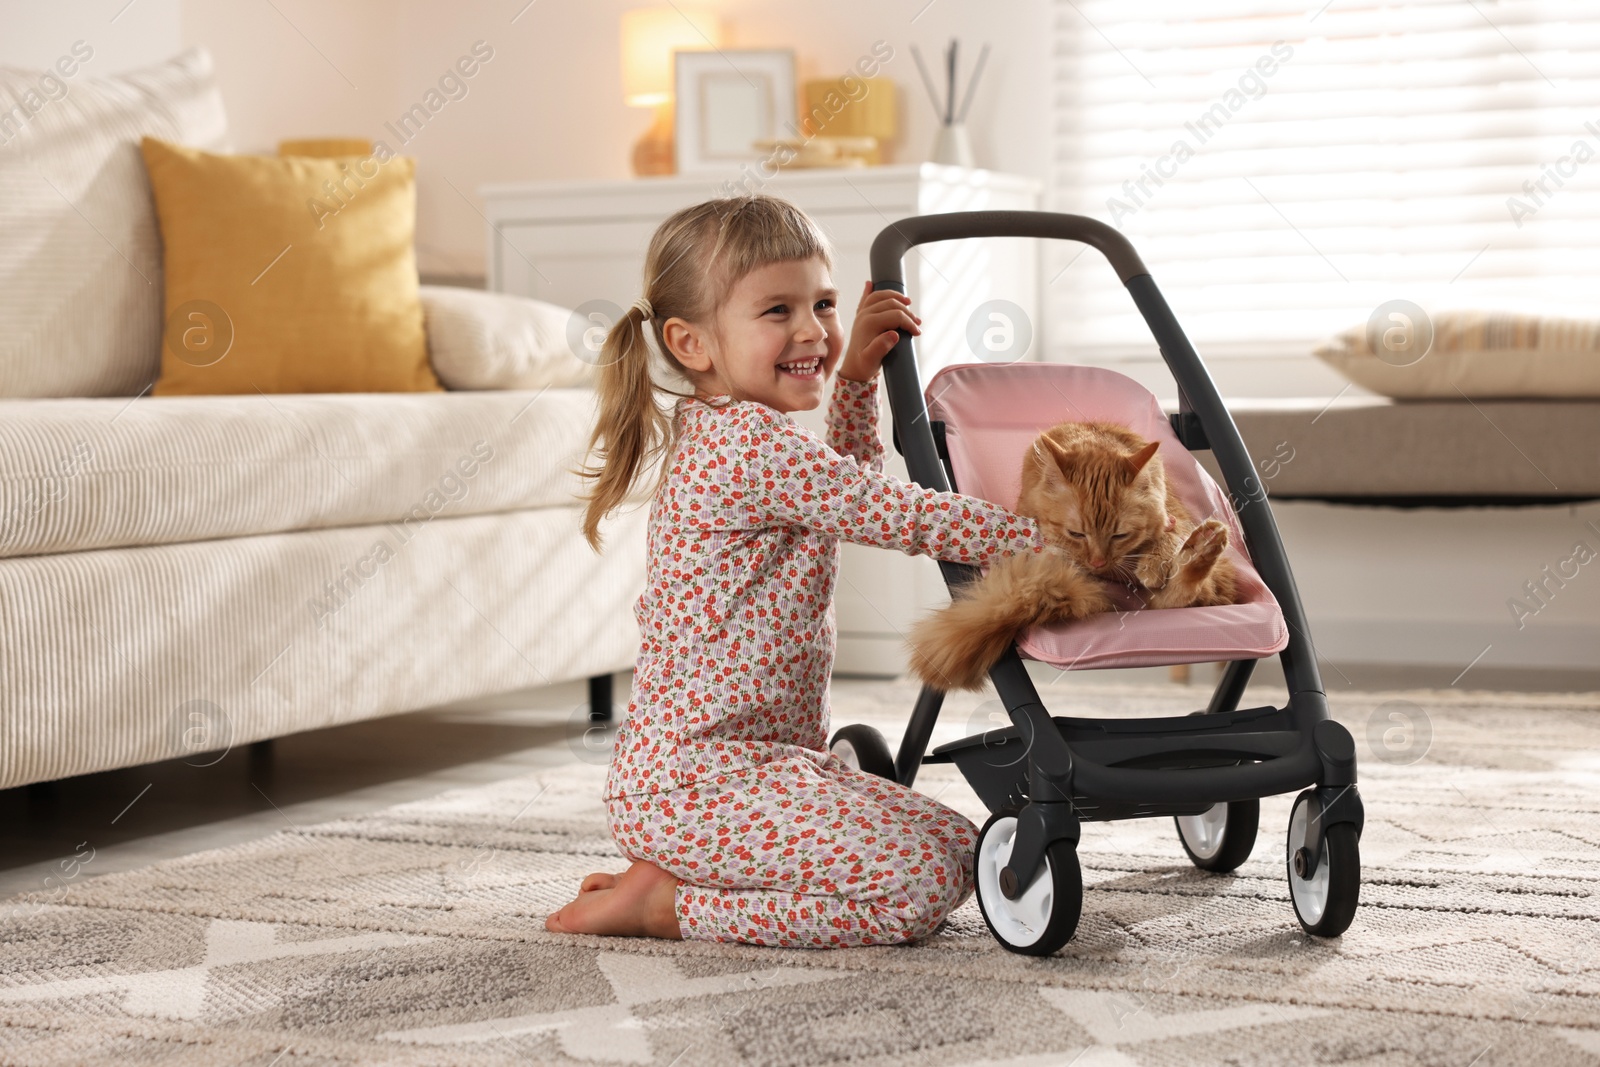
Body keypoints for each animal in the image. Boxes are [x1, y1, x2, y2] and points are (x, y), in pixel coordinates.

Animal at [915, 422, 1235, 697]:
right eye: (1076, 534)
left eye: (1120, 535)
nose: (1097, 563)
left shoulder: (1172, 514)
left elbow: (1169, 535)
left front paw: (1156, 559)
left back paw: (1204, 546)